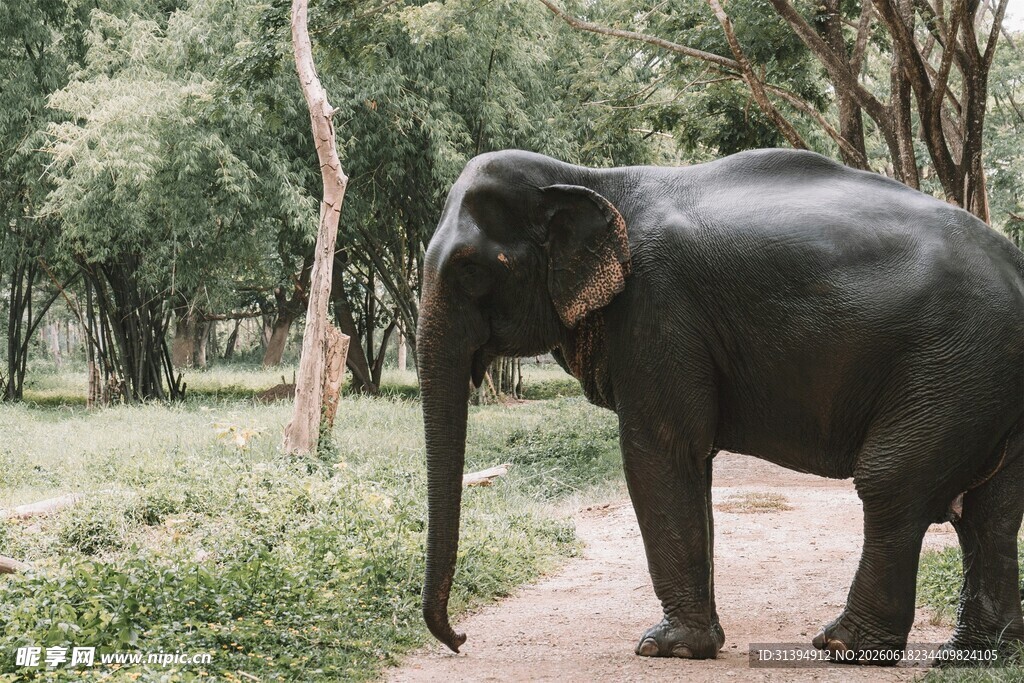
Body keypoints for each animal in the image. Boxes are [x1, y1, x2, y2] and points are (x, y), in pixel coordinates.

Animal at [417, 148, 1024, 664]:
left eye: (469, 269)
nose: (460, 639)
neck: (589, 177)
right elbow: (691, 459)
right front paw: (693, 644)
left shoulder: (658, 309)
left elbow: (662, 451)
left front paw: (666, 649)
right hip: (984, 378)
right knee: (989, 510)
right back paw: (975, 653)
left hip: (953, 362)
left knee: (893, 483)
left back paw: (844, 646)